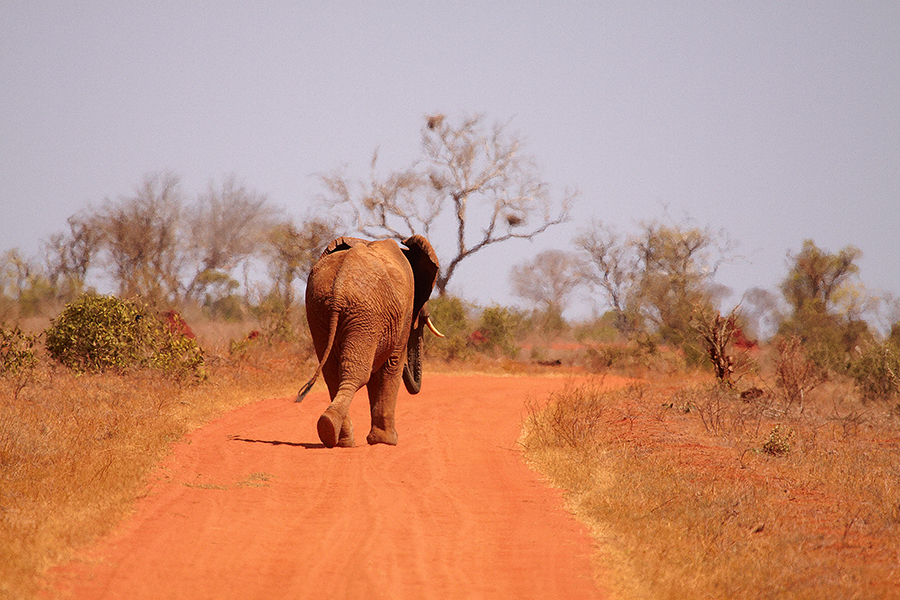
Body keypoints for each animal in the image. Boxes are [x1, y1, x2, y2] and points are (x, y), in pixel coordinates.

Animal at [298, 234, 442, 446]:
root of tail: (340, 285)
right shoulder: (404, 310)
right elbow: (391, 365)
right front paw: (387, 441)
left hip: (320, 309)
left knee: (331, 372)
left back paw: (336, 436)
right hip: (364, 313)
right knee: (357, 372)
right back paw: (335, 432)